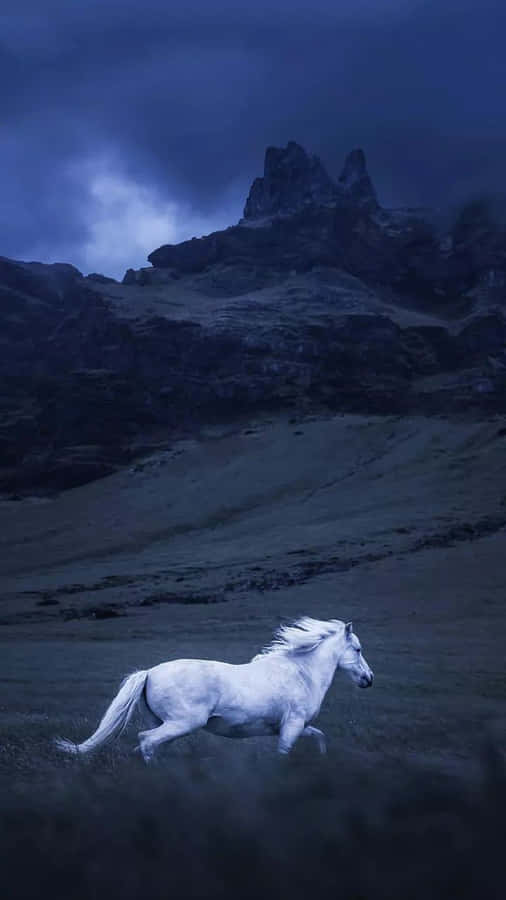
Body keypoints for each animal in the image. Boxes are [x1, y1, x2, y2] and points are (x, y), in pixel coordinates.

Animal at [55, 616, 374, 756]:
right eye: (358, 649)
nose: (368, 679)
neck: (302, 673)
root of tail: (149, 673)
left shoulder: (293, 726)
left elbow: (320, 737)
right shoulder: (292, 725)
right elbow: (285, 752)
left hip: (165, 722)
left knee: (151, 744)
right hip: (184, 722)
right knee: (146, 741)